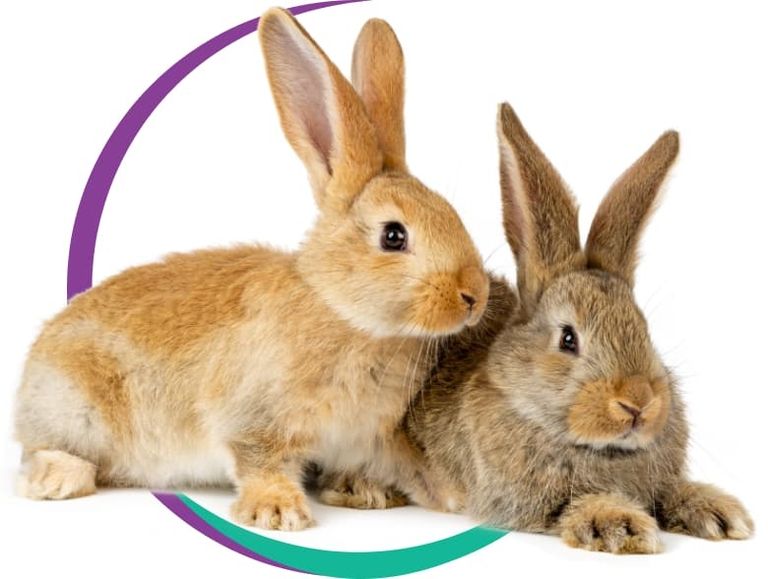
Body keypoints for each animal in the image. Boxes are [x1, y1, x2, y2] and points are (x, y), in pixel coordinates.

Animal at [13, 8, 489, 532]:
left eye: (452, 212)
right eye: (394, 236)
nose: (474, 295)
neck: (341, 311)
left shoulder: (361, 435)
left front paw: (372, 493)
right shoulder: (253, 417)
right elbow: (259, 459)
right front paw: (278, 512)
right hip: (72, 410)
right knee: (42, 451)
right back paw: (59, 479)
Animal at [397, 103, 754, 553]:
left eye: (644, 329)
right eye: (568, 339)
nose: (637, 403)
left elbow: (669, 490)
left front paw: (719, 513)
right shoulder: (524, 501)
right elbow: (574, 505)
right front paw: (622, 526)